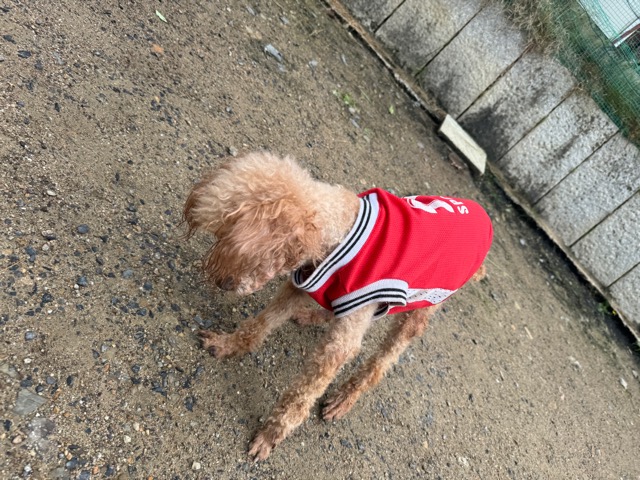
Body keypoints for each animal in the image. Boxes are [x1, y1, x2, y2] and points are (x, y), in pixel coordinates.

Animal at [183, 151, 493, 461]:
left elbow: (303, 394)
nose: (223, 283)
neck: (341, 232)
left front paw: (272, 435)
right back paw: (313, 316)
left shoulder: (342, 339)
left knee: (382, 361)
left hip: (424, 305)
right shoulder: (300, 286)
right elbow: (261, 324)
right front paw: (228, 344)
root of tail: (484, 219)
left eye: (232, 241)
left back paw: (345, 398)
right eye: (218, 236)